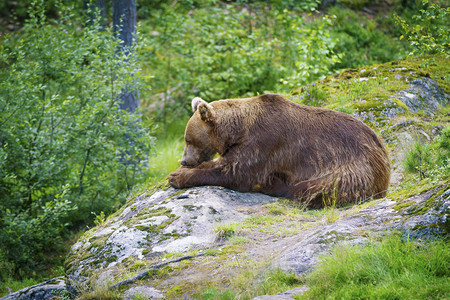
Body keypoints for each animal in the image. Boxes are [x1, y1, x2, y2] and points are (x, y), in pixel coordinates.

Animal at [170, 94, 390, 206]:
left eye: (188, 140)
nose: (184, 161)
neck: (239, 130)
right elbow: (223, 163)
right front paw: (180, 172)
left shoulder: (265, 142)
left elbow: (237, 172)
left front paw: (178, 177)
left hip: (353, 166)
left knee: (319, 187)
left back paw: (274, 184)